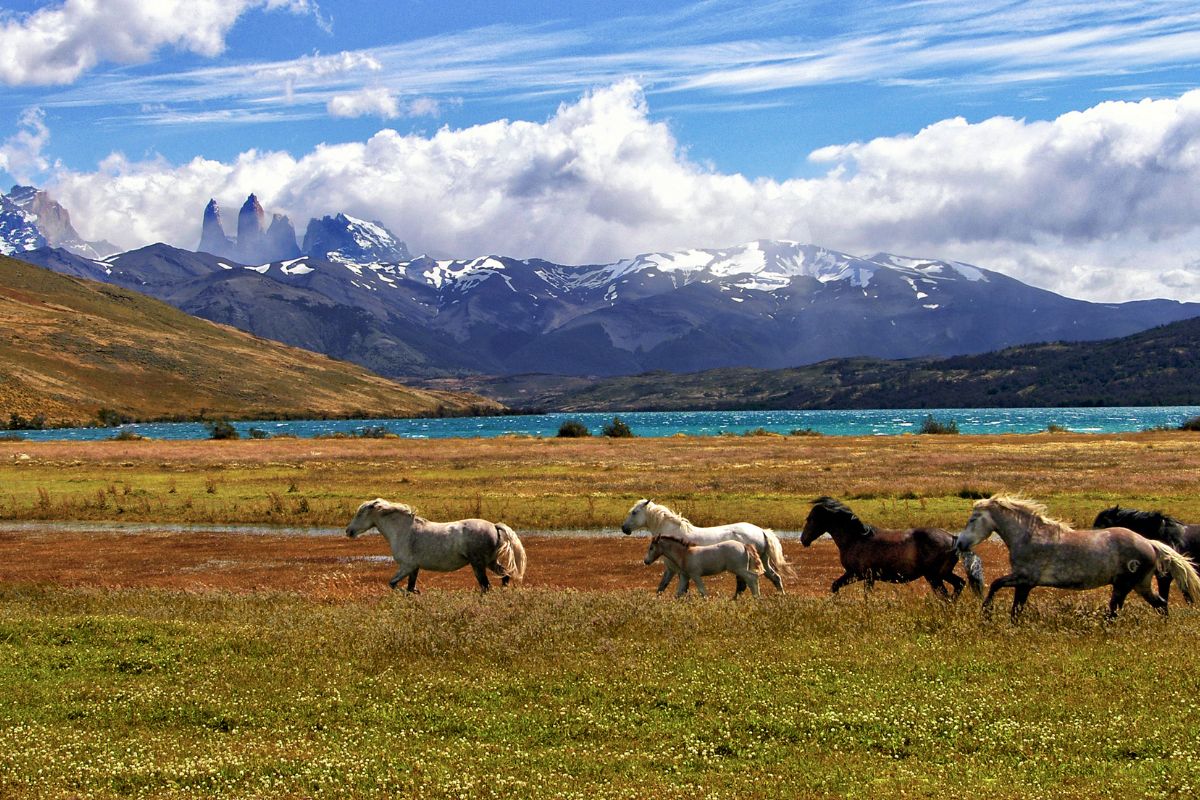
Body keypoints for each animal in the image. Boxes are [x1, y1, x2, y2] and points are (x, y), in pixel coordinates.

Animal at [624, 501, 792, 594]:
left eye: (634, 512)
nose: (624, 528)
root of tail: (762, 531)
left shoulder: (673, 568)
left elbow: (671, 587)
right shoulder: (675, 570)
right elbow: (664, 587)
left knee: (746, 584)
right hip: (762, 562)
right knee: (775, 578)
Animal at [796, 496, 984, 597]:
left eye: (810, 519)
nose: (803, 540)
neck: (855, 539)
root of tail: (953, 538)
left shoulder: (862, 575)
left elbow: (863, 594)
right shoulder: (857, 575)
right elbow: (835, 586)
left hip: (934, 576)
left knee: (946, 594)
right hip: (943, 574)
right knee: (959, 584)